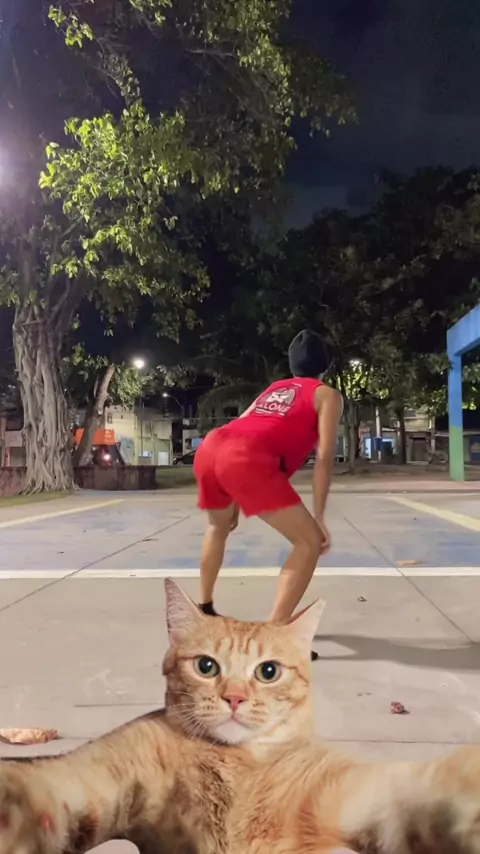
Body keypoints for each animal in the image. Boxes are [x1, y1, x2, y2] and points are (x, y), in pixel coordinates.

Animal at [0, 578, 480, 854]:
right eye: (206, 666)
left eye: (268, 672)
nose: (233, 698)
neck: (237, 769)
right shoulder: (108, 770)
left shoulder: (343, 792)